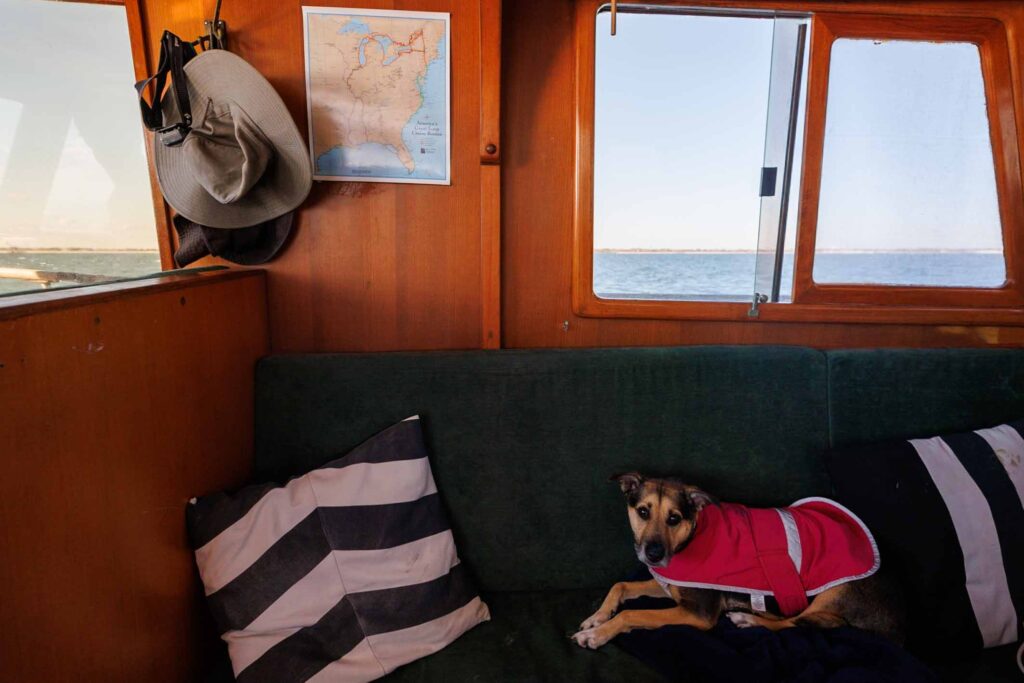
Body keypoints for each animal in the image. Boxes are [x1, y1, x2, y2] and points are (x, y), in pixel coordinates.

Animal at [573, 473, 909, 651]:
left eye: (674, 518)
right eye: (643, 511)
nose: (653, 554)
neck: (692, 535)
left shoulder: (698, 613)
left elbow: (634, 614)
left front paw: (597, 634)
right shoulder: (671, 586)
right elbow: (621, 585)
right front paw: (597, 617)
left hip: (835, 590)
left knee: (797, 622)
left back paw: (749, 619)